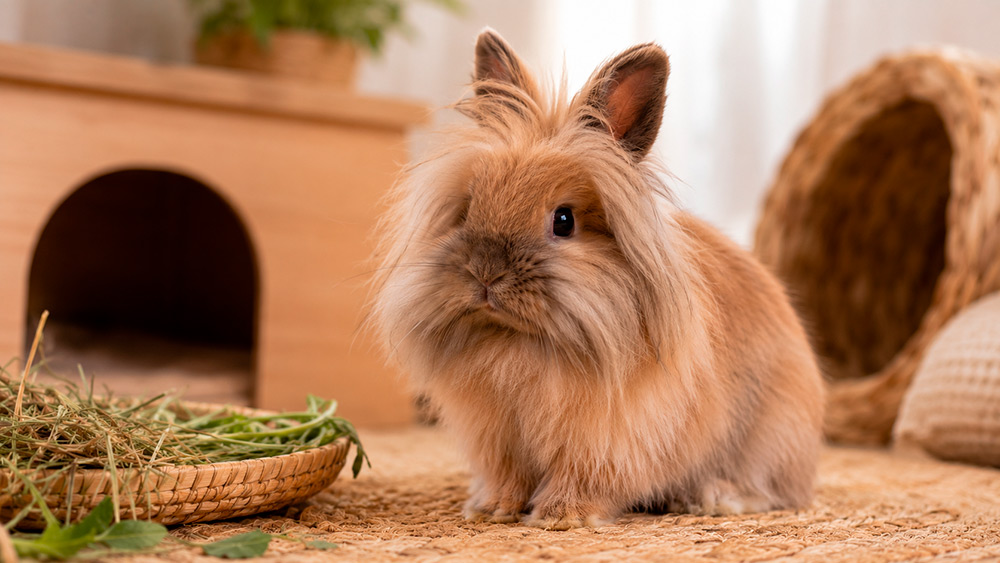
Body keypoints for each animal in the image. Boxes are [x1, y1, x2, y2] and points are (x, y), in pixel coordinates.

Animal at [369, 28, 825, 530]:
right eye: (469, 208)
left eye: (564, 220)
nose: (485, 274)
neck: (522, 345)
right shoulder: (498, 438)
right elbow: (506, 476)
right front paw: (493, 510)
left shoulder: (608, 438)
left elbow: (585, 475)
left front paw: (560, 516)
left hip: (771, 439)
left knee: (771, 490)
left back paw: (711, 497)